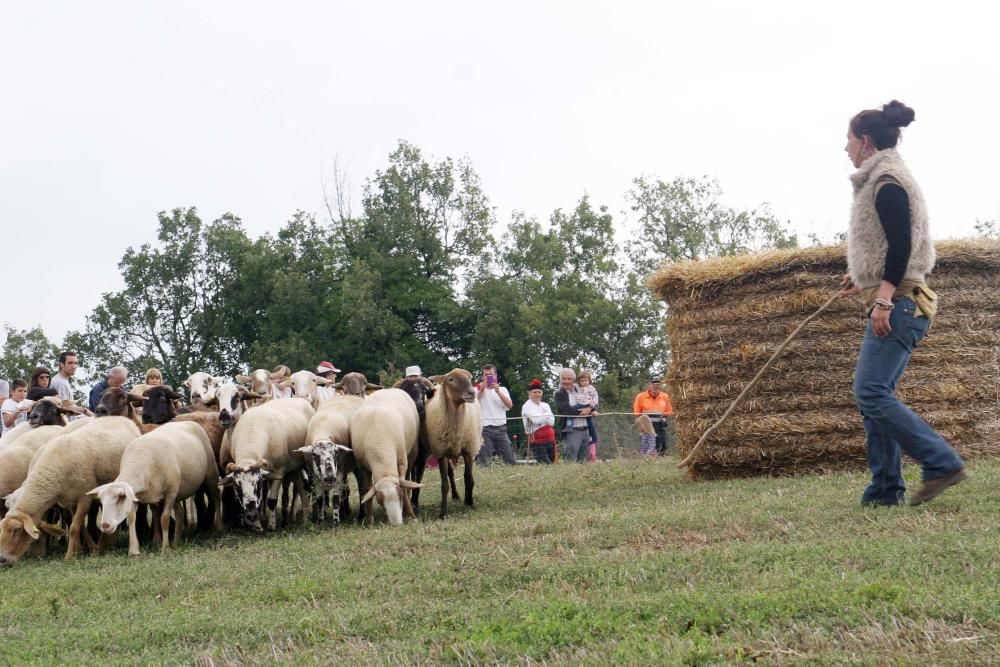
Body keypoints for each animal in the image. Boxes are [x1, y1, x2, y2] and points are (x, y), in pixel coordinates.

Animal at [0, 418, 141, 564]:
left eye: (17, 530)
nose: (2, 560)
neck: (52, 469)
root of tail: (122, 418)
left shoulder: (84, 498)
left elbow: (73, 528)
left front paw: (69, 556)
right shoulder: (69, 501)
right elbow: (80, 526)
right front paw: (84, 549)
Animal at [88, 420, 223, 556]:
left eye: (120, 498)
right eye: (101, 502)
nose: (105, 526)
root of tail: (187, 421)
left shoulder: (170, 493)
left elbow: (164, 518)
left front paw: (164, 548)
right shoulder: (143, 495)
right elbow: (134, 517)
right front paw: (135, 550)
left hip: (211, 473)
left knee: (216, 496)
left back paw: (218, 527)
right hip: (178, 492)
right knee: (180, 513)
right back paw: (176, 542)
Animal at [348, 386, 422, 528]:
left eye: (399, 496)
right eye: (380, 501)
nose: (397, 524)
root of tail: (388, 388)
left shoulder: (401, 461)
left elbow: (404, 486)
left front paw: (410, 515)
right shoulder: (363, 468)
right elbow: (367, 490)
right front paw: (369, 520)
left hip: (412, 451)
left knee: (408, 475)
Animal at [424, 368, 482, 520]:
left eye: (470, 378)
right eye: (451, 379)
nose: (472, 393)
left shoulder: (469, 450)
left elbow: (469, 479)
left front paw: (469, 502)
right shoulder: (441, 452)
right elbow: (444, 484)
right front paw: (443, 513)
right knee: (450, 472)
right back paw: (455, 496)